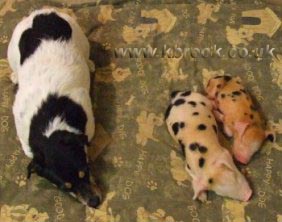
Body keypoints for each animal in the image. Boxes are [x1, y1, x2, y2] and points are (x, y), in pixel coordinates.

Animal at [7, 7, 101, 207]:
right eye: (65, 187)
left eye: (85, 171)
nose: (94, 202)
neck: (50, 126)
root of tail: (42, 12)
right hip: (11, 52)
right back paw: (15, 75)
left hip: (82, 40)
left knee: (86, 53)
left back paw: (89, 64)